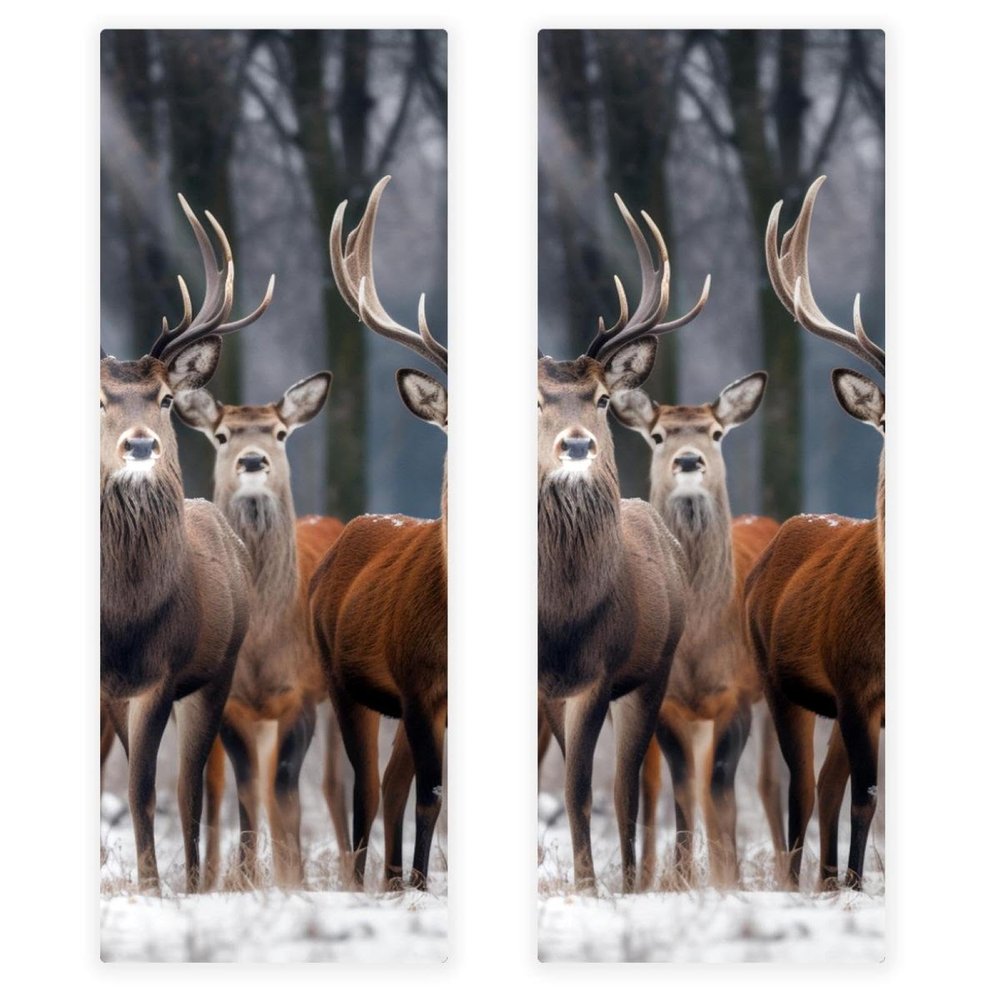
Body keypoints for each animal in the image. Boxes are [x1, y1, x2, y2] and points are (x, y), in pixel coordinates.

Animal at [173, 375, 350, 887]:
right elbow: (249, 786)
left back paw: (353, 875)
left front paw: (294, 880)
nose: (253, 461)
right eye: (222, 435)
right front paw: (247, 877)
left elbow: (286, 787)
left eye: (280, 432)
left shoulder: (301, 694)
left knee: (333, 783)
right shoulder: (235, 702)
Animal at [609, 373, 783, 887]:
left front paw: (729, 881)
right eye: (658, 435)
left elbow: (721, 787)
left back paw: (789, 875)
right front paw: (684, 878)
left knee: (768, 783)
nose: (689, 460)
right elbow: (685, 786)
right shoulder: (670, 702)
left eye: (716, 433)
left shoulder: (736, 694)